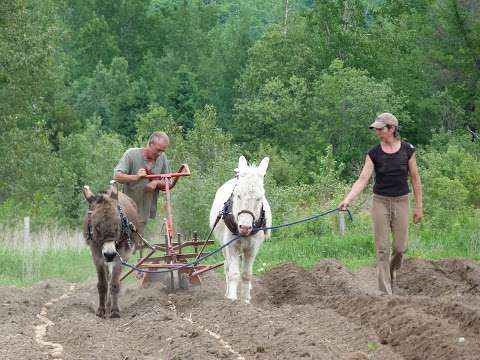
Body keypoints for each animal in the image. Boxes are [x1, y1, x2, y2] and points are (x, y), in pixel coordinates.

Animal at [209, 156, 272, 302]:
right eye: (238, 195)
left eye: (259, 198)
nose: (244, 227)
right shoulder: (231, 246)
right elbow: (233, 273)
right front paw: (232, 299)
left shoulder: (253, 248)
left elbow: (246, 274)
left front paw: (245, 301)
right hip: (224, 246)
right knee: (227, 267)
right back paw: (227, 294)